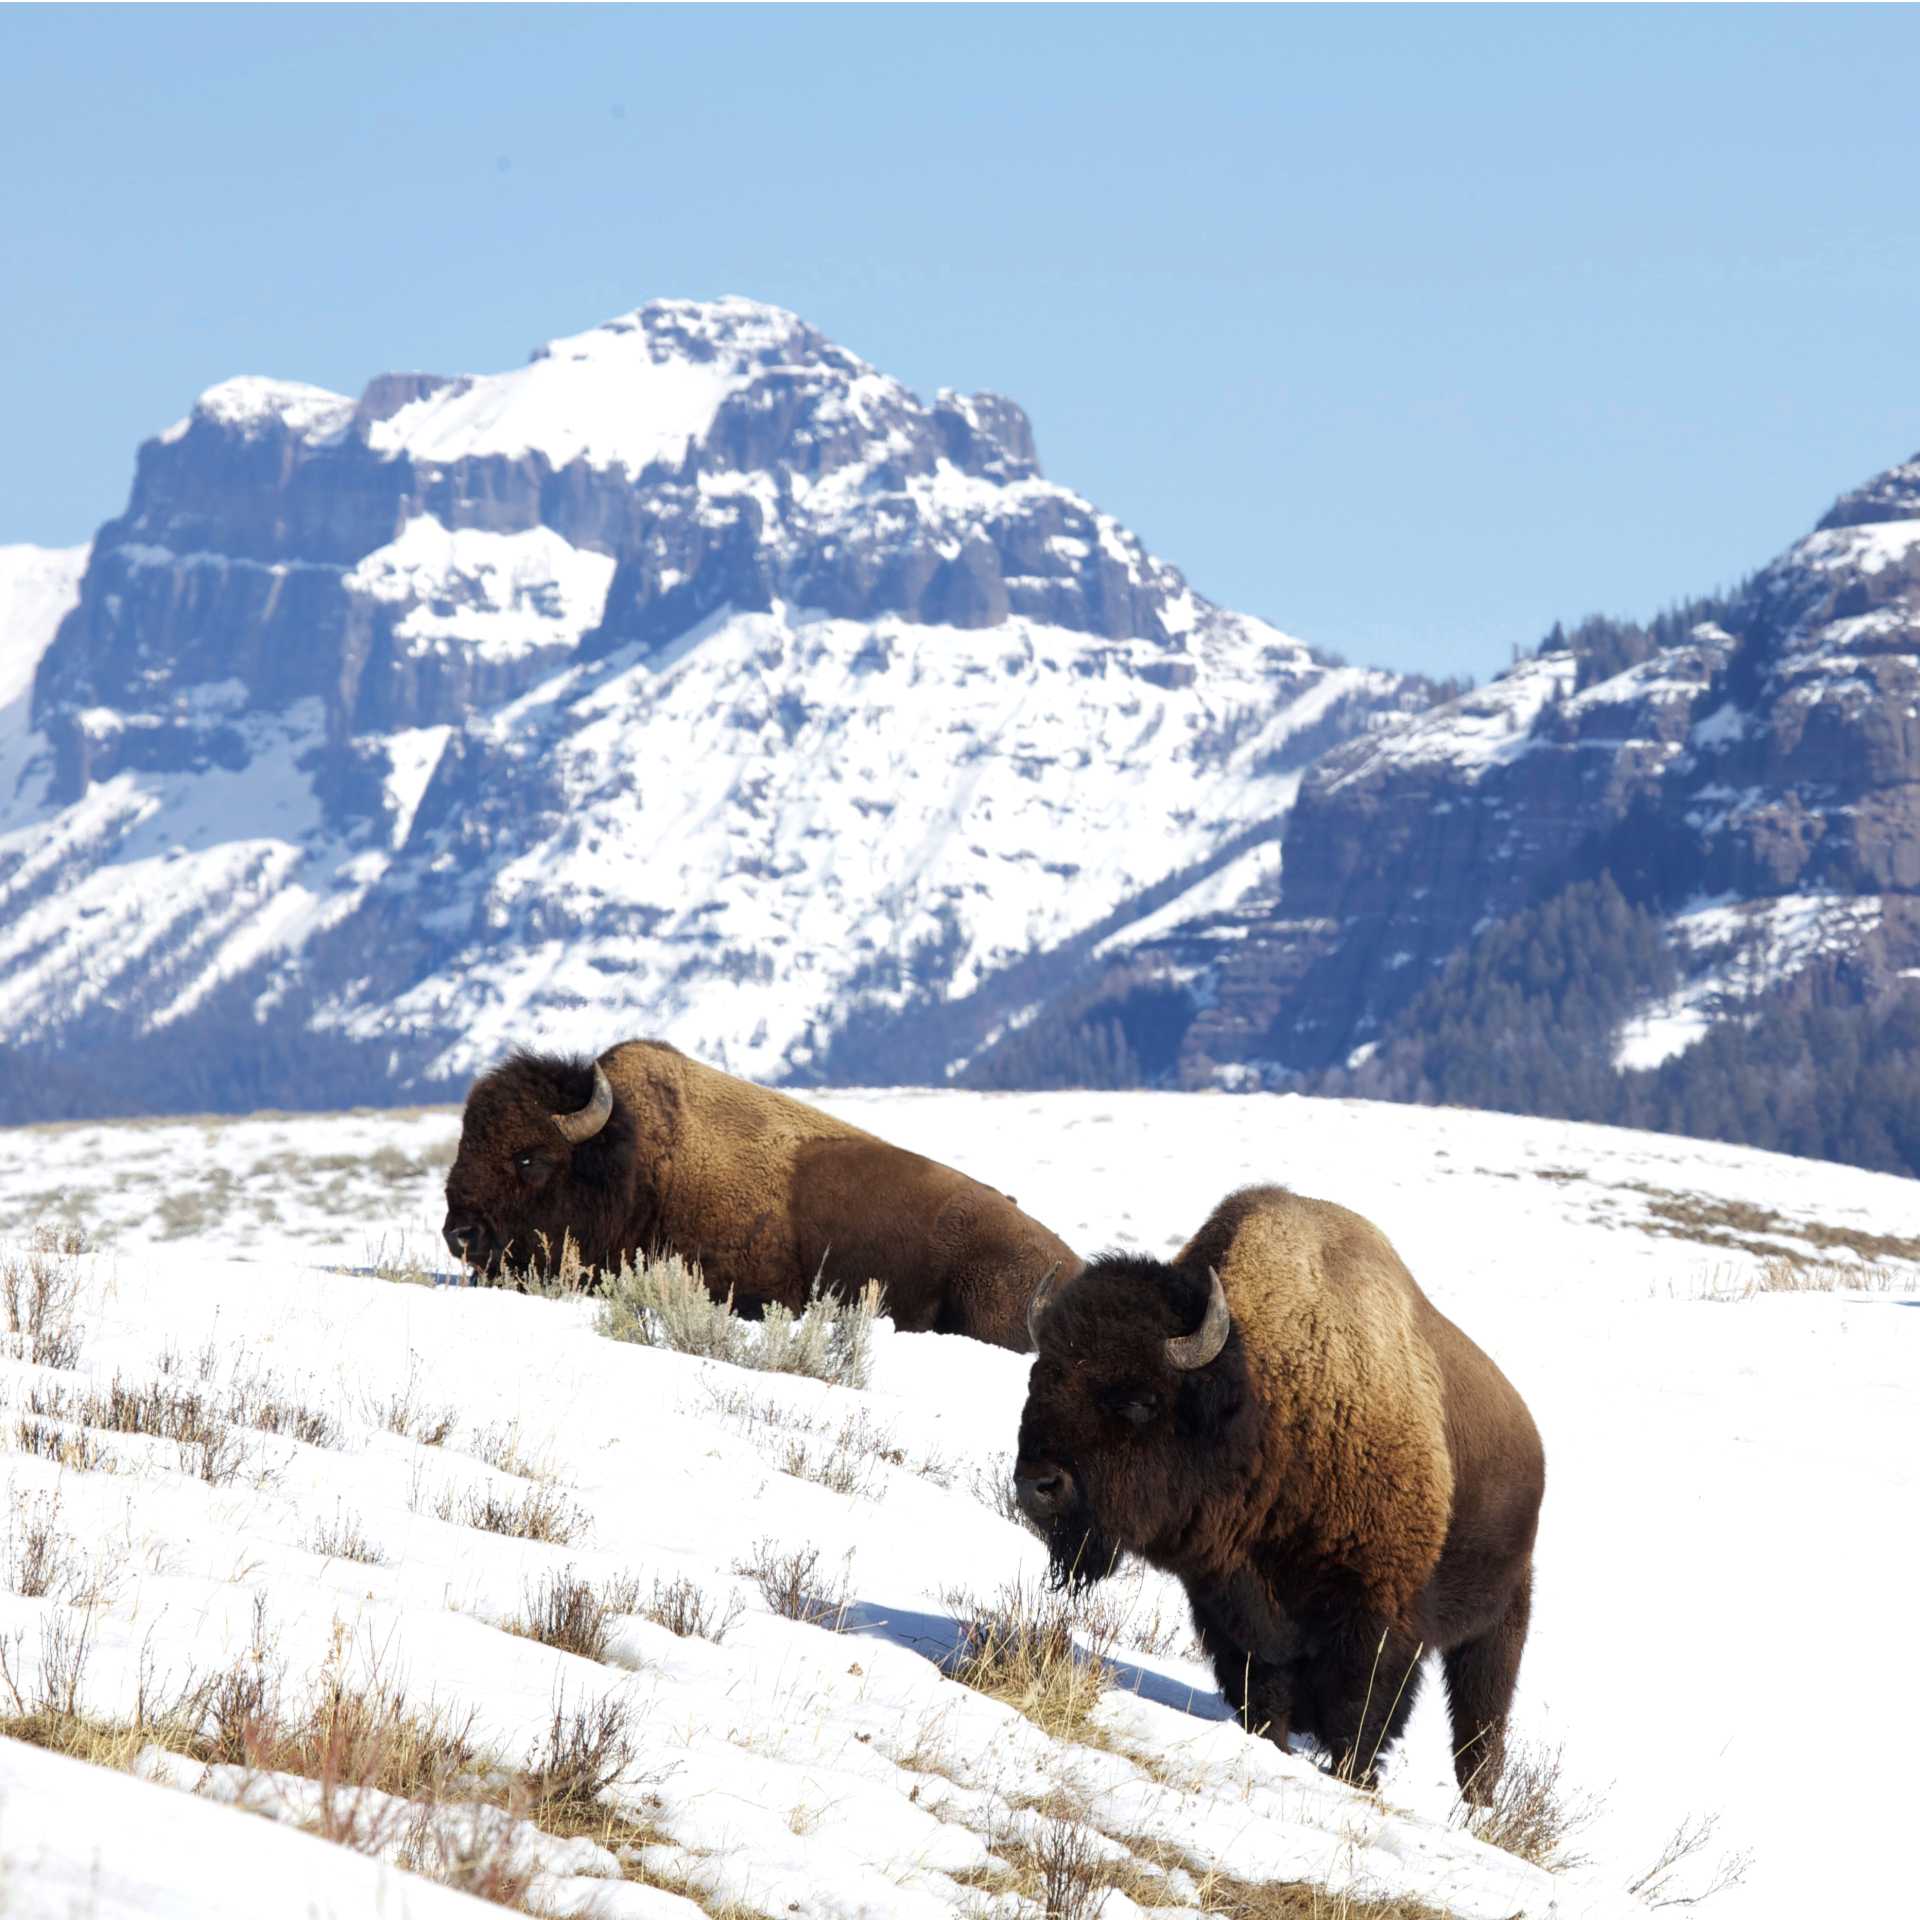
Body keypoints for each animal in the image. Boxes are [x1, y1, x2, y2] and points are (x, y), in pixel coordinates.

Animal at [1014, 1184, 1544, 1796]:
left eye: (1141, 1399)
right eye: (1039, 1378)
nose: (1038, 1485)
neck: (1262, 1399)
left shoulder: (1375, 1610)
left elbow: (1362, 1708)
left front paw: (1355, 1779)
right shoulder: (1229, 1601)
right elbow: (1264, 1688)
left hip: (1501, 1622)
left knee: (1480, 1720)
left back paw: (1477, 1801)